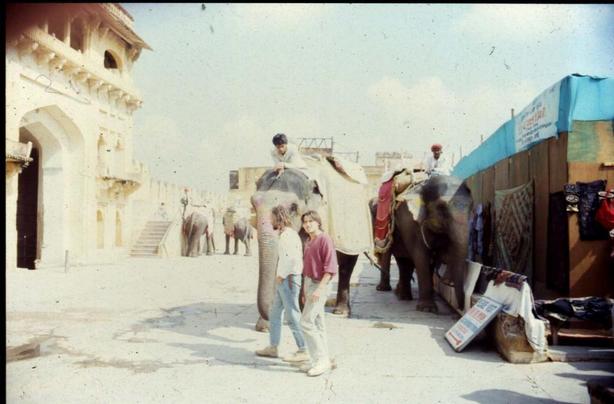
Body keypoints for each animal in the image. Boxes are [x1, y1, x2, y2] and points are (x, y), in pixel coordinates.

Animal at [251, 163, 376, 332]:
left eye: (293, 207)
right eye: (253, 204)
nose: (269, 318)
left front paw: (299, 314)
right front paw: (265, 326)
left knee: (346, 264)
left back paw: (340, 311)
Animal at [370, 174, 476, 312]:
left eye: (471, 207)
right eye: (441, 208)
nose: (461, 307)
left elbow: (437, 256)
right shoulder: (409, 221)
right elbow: (421, 256)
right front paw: (427, 309)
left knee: (404, 260)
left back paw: (402, 295)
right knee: (401, 259)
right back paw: (392, 293)